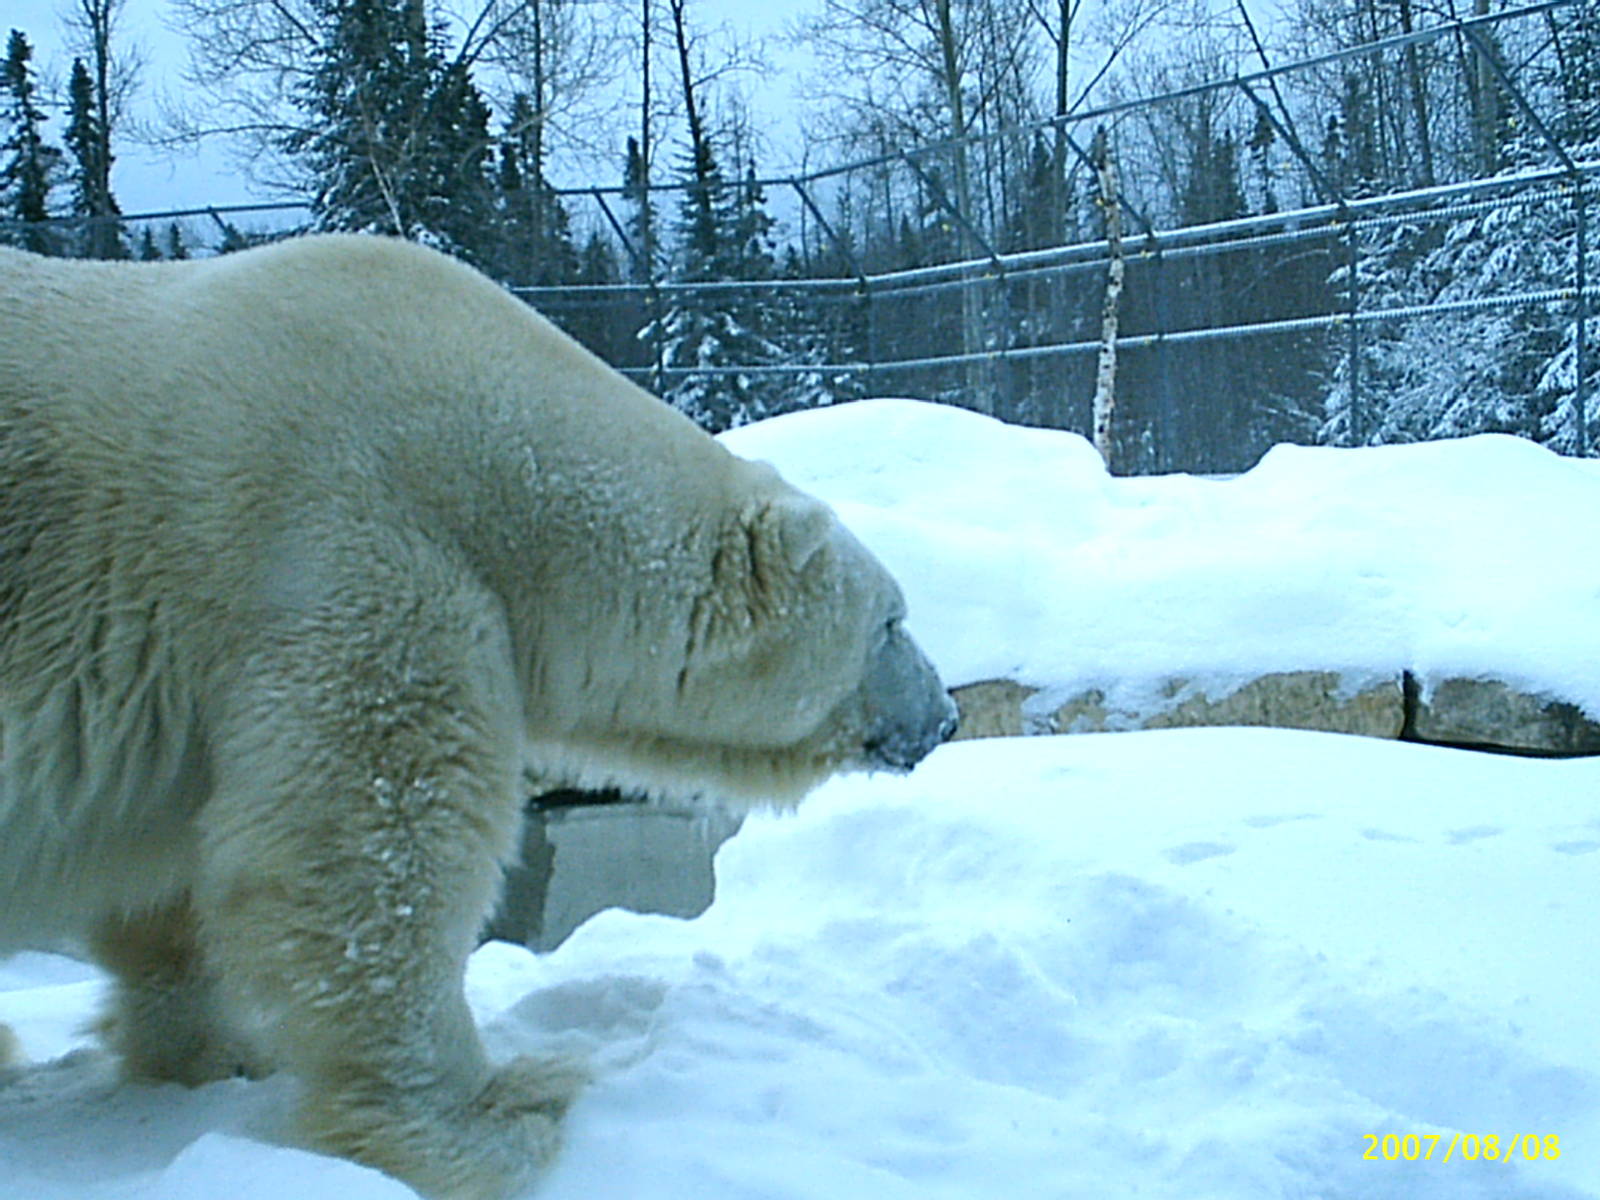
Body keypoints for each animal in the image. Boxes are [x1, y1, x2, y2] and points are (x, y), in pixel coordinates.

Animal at [0, 235, 957, 1199]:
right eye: (892, 622)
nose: (947, 717)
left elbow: (176, 888)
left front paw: (216, 1051)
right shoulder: (353, 552)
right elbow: (370, 849)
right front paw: (492, 1116)